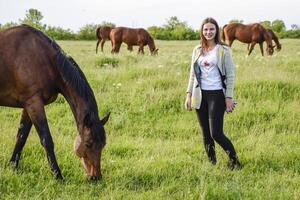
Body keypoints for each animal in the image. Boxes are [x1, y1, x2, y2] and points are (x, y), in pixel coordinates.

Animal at [0, 24, 110, 180]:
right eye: (88, 144)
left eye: (103, 144)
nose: (96, 177)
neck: (44, 60)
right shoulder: (34, 103)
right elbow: (47, 140)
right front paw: (57, 175)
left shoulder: (28, 105)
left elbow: (21, 137)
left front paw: (12, 166)